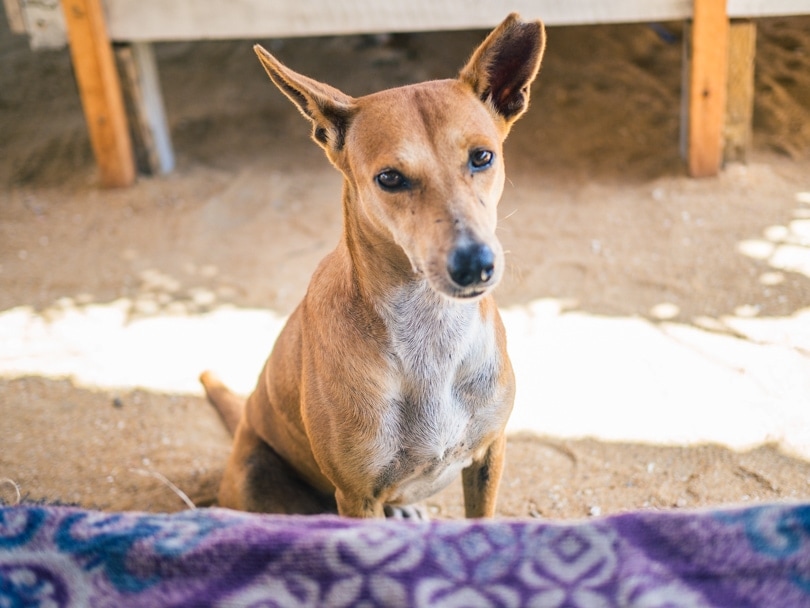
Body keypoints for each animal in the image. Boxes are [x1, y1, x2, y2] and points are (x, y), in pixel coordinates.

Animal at [200, 14, 548, 516]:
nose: (474, 264)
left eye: (482, 156)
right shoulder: (356, 495)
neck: (430, 329)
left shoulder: (490, 453)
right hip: (253, 475)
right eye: (390, 178)